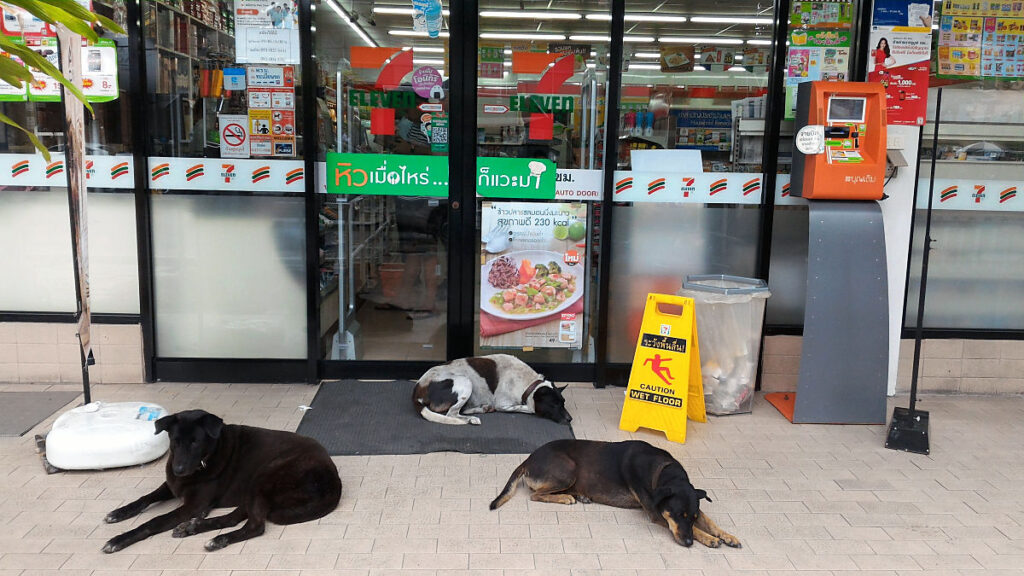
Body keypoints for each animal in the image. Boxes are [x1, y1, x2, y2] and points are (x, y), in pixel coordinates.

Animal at [411, 352, 573, 424]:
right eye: (553, 404)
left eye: (563, 403)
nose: (570, 419)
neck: (528, 382)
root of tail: (419, 387)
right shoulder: (503, 404)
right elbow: (528, 408)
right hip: (465, 381)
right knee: (451, 413)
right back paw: (471, 419)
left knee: (460, 410)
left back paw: (482, 409)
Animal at [489, 436, 741, 545]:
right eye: (678, 515)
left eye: (692, 516)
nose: (688, 543)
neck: (664, 470)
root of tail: (527, 459)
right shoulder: (655, 512)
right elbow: (696, 529)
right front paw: (708, 539)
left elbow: (709, 521)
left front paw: (726, 535)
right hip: (568, 469)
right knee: (535, 495)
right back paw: (566, 498)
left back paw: (581, 496)